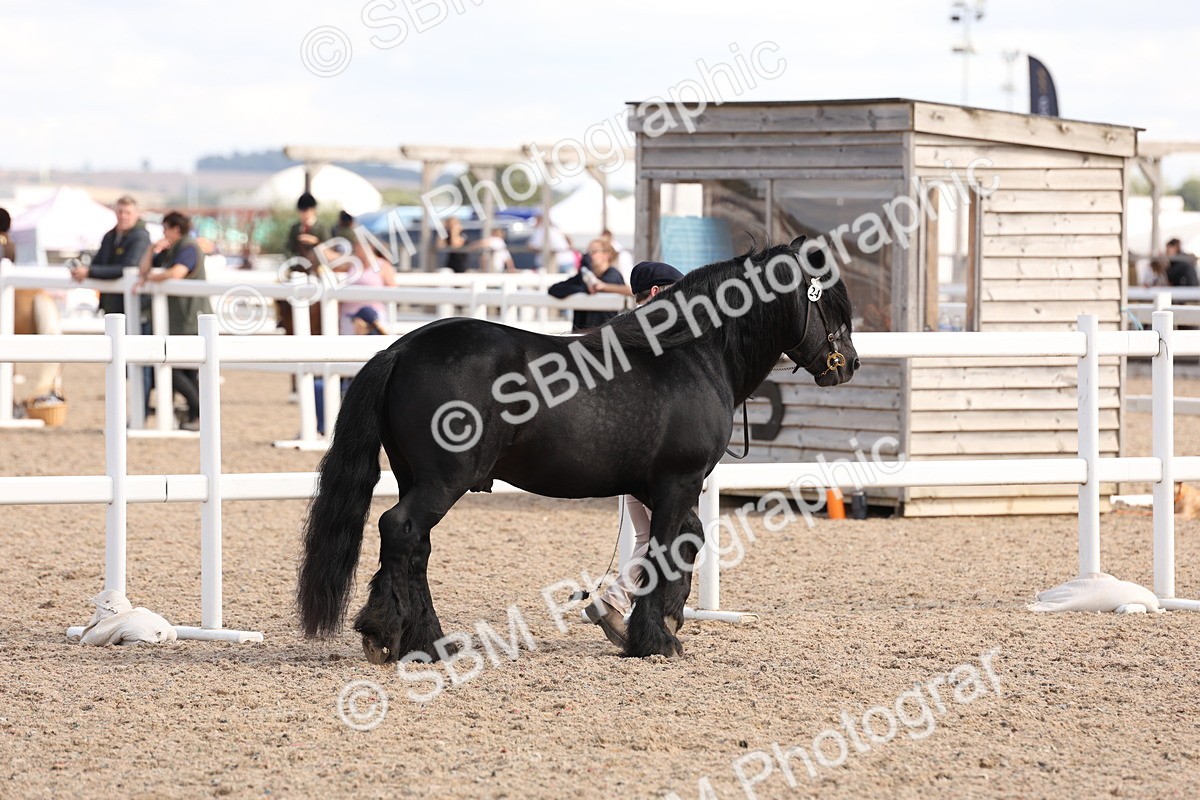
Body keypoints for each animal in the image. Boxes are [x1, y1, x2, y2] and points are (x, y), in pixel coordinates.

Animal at [297, 236, 859, 663]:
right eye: (828, 302)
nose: (848, 363)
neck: (691, 354)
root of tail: (401, 348)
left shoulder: (659, 487)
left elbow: (686, 542)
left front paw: (662, 618)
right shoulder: (678, 481)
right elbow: (667, 547)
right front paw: (655, 638)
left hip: (412, 475)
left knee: (417, 548)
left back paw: (423, 640)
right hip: (443, 480)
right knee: (401, 530)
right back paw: (399, 637)